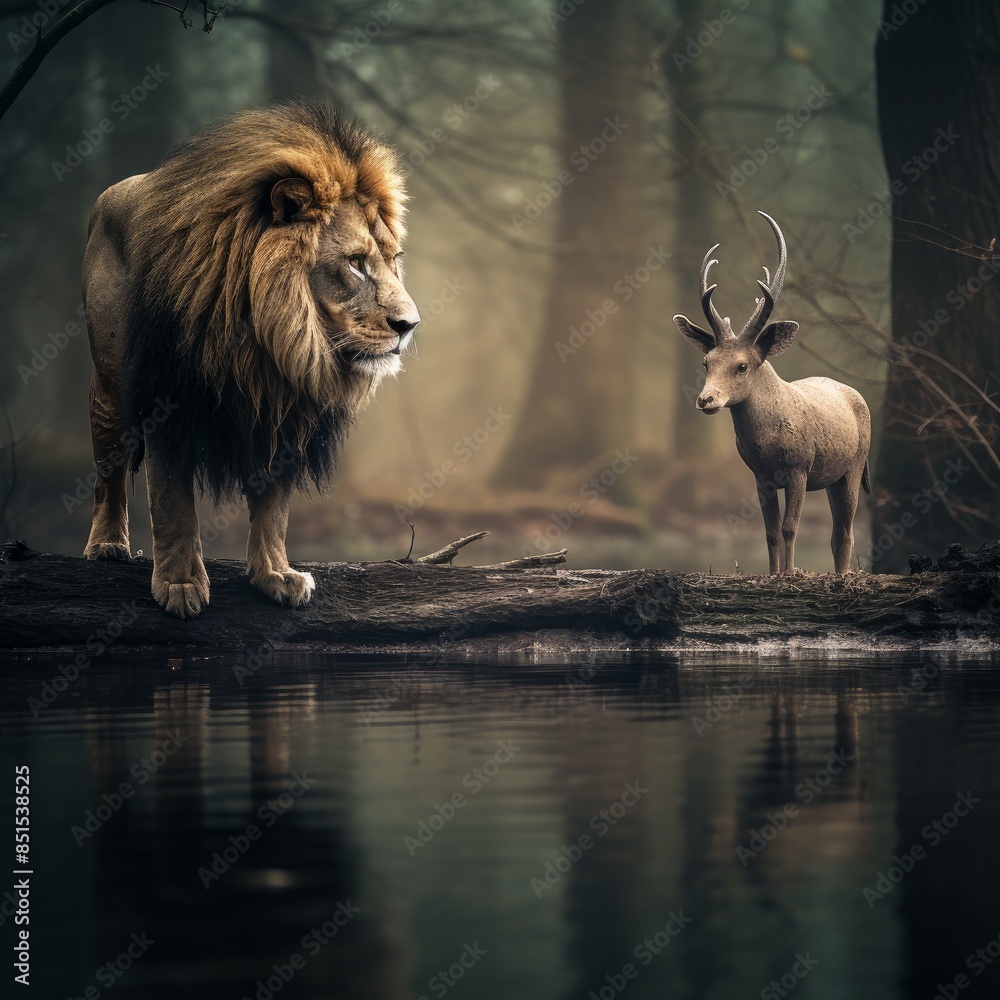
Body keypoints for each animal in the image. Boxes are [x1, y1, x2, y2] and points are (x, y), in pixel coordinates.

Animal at [82, 100, 420, 618]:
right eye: (356, 263)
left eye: (393, 260)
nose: (410, 325)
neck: (271, 340)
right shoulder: (167, 395)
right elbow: (172, 503)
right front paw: (180, 583)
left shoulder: (285, 412)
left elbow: (274, 509)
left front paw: (275, 576)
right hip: (110, 385)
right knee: (108, 472)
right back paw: (106, 545)